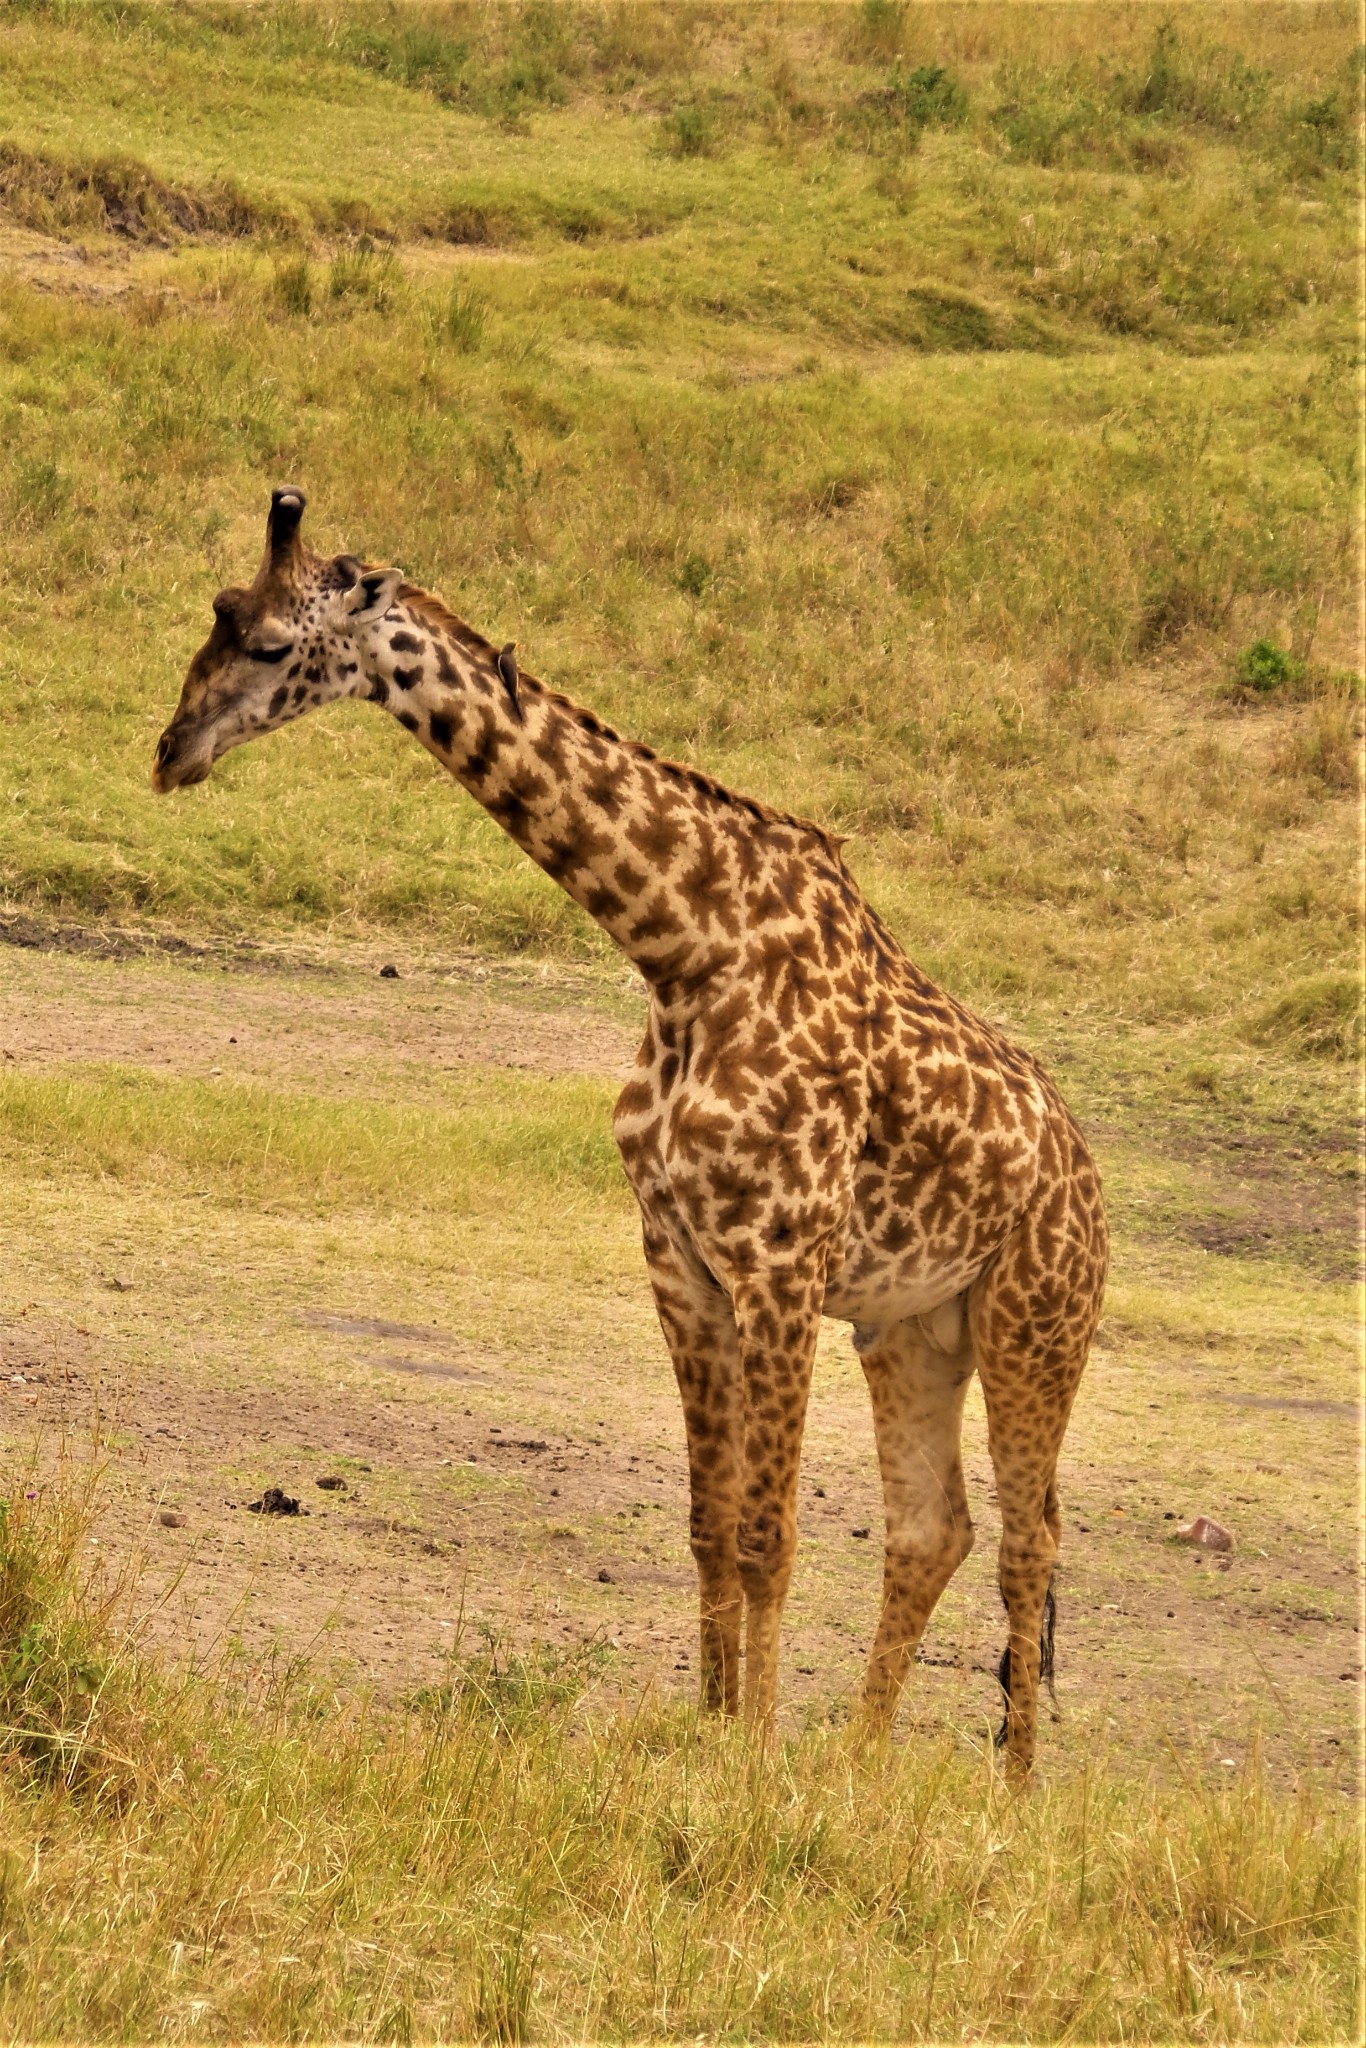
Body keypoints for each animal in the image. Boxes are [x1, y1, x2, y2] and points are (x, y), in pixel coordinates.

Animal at [152, 487, 1114, 1769]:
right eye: (217, 610)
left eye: (265, 643)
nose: (172, 751)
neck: (682, 946)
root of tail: (1088, 1182)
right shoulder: (680, 1257)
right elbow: (710, 1524)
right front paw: (713, 1733)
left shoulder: (780, 1264)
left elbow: (766, 1533)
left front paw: (754, 1755)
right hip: (916, 1329)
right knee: (934, 1526)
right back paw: (857, 1767)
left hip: (1034, 1323)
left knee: (1027, 1538)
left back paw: (1008, 1788)